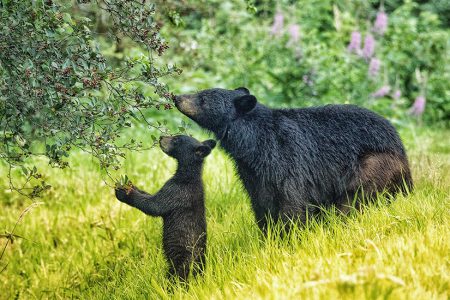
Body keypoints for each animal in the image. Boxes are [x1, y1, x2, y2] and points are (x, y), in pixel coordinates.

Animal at [114, 136, 216, 282]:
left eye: (177, 139)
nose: (161, 137)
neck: (187, 176)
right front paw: (128, 184)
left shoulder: (177, 191)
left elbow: (154, 205)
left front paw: (123, 192)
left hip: (182, 261)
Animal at [174, 86, 414, 232]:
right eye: (200, 93)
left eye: (203, 99)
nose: (177, 97)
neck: (254, 143)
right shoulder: (252, 172)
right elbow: (261, 202)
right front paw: (267, 236)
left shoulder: (287, 158)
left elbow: (292, 200)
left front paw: (289, 236)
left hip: (375, 163)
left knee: (355, 196)